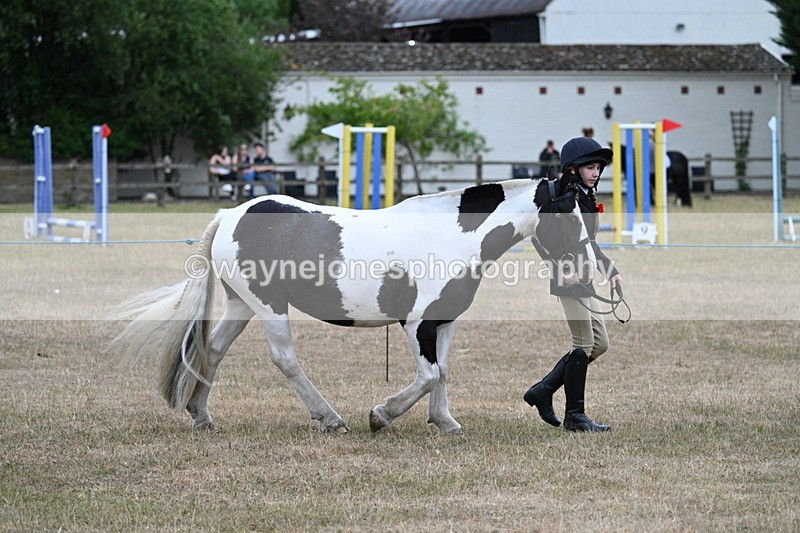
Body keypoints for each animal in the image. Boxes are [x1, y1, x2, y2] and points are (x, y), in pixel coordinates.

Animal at [110, 178, 595, 435]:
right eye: (568, 215)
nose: (587, 270)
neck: (450, 236)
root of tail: (231, 214)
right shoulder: (416, 324)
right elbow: (427, 375)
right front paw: (381, 415)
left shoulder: (445, 322)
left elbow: (443, 372)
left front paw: (444, 422)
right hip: (268, 305)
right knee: (284, 359)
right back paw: (330, 418)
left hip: (240, 305)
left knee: (211, 350)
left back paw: (202, 416)